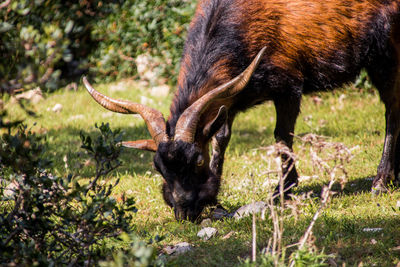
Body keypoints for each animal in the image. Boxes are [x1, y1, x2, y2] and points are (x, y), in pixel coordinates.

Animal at [83, 0, 400, 222]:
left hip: (386, 54)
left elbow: (281, 136)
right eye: (158, 168)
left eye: (197, 161)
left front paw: (282, 192)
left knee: (392, 111)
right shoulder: (230, 97)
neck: (237, 24)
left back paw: (381, 182)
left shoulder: (289, 86)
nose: (184, 211)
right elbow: (221, 136)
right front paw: (215, 198)